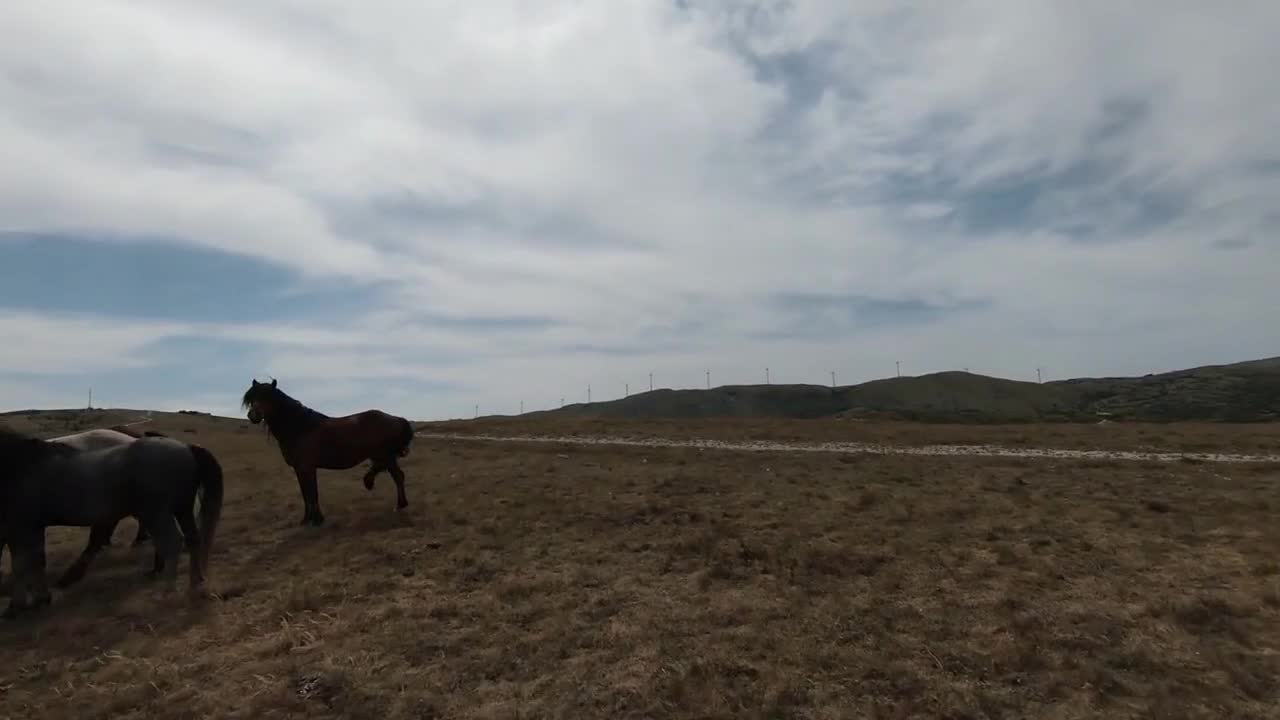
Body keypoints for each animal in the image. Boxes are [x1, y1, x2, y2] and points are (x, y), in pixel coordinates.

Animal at [240, 379, 414, 525]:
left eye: (268, 397)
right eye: (252, 398)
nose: (253, 415)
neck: (300, 428)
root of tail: (396, 418)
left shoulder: (307, 467)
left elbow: (312, 493)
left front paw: (317, 519)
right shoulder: (299, 469)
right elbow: (305, 494)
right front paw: (306, 520)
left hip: (387, 457)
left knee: (398, 477)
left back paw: (399, 505)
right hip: (383, 456)